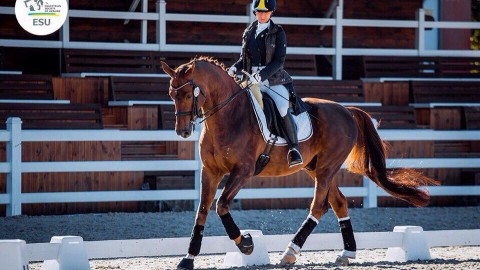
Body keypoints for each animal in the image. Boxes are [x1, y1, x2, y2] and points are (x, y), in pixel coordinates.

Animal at [161, 56, 438, 268]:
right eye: (171, 94)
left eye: (188, 93)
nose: (182, 131)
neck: (229, 116)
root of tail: (347, 111)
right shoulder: (210, 171)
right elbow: (202, 210)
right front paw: (188, 258)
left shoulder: (243, 171)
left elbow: (221, 205)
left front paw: (247, 244)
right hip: (315, 168)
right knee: (338, 202)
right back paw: (346, 253)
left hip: (326, 168)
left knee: (318, 206)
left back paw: (290, 252)